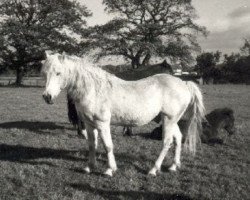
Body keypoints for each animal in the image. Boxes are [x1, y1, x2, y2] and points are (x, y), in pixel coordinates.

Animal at [41, 52, 205, 177]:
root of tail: (184, 83)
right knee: (178, 138)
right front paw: (89, 167)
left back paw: (153, 169)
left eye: (58, 73)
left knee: (167, 142)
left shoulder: (102, 124)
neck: (94, 89)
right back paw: (173, 166)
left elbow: (107, 146)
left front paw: (109, 170)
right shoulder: (89, 124)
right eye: (44, 73)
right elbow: (92, 145)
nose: (47, 97)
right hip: (171, 119)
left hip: (169, 120)